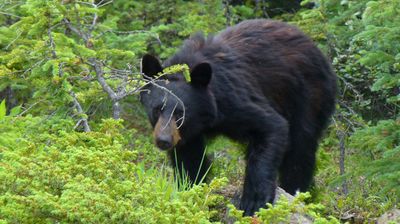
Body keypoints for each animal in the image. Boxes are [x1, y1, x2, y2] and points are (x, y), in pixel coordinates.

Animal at [139, 19, 336, 215]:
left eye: (180, 113)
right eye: (157, 109)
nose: (164, 140)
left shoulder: (233, 100)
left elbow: (271, 125)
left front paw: (253, 200)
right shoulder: (185, 134)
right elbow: (189, 159)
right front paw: (192, 192)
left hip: (308, 96)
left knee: (300, 149)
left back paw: (298, 193)